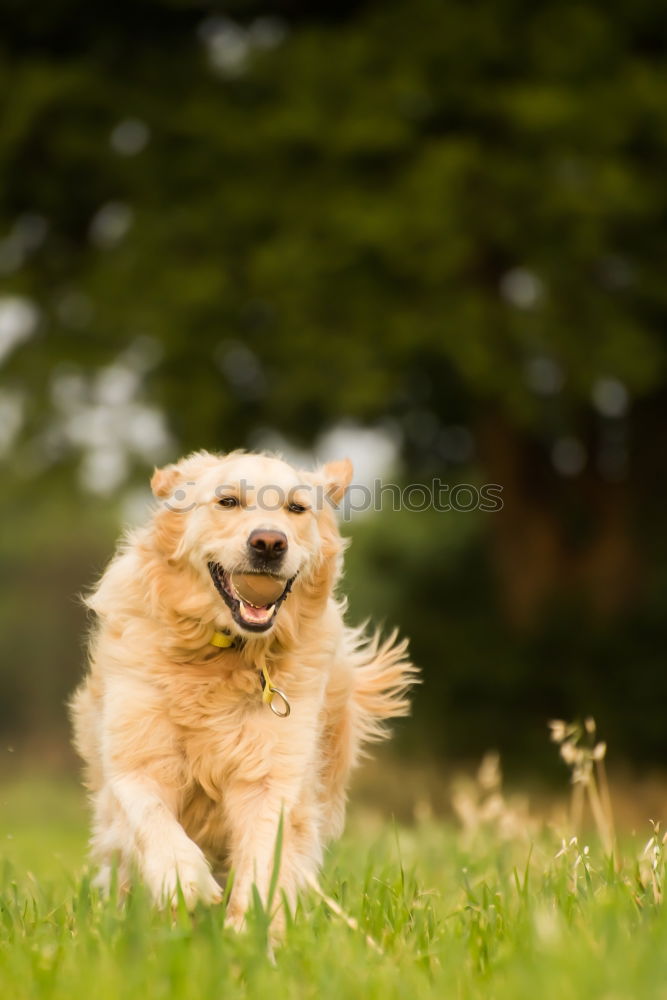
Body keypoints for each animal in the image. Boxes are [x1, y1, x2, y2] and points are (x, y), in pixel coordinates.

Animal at [70, 450, 414, 932]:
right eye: (228, 501)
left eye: (296, 508)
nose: (269, 543)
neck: (222, 655)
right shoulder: (134, 759)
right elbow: (151, 819)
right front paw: (185, 881)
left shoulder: (274, 775)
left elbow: (264, 857)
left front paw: (248, 933)